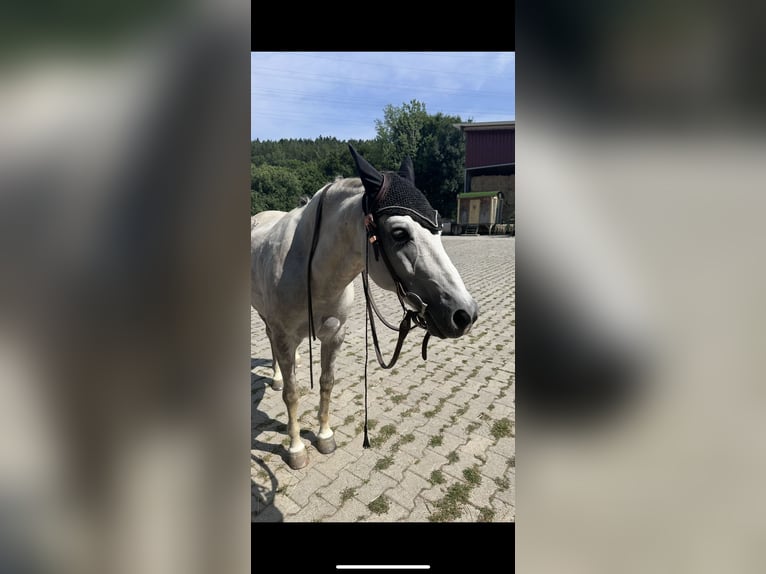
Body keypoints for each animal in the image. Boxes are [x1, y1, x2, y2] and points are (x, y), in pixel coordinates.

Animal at [251, 145, 479, 469]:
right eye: (399, 233)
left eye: (438, 228)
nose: (465, 314)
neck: (311, 270)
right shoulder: (286, 339)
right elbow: (293, 394)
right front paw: (296, 449)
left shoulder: (335, 335)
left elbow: (327, 383)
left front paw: (324, 436)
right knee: (271, 341)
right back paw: (277, 379)